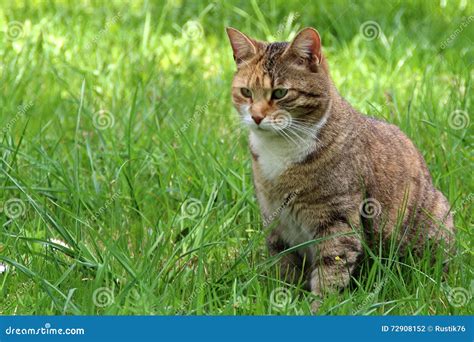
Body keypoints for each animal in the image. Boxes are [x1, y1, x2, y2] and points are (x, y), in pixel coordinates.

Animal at [226, 26, 456, 310]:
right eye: (246, 92)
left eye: (280, 93)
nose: (256, 117)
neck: (280, 149)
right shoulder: (275, 219)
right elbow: (283, 265)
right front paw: (282, 298)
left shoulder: (337, 219)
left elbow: (331, 267)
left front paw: (317, 307)